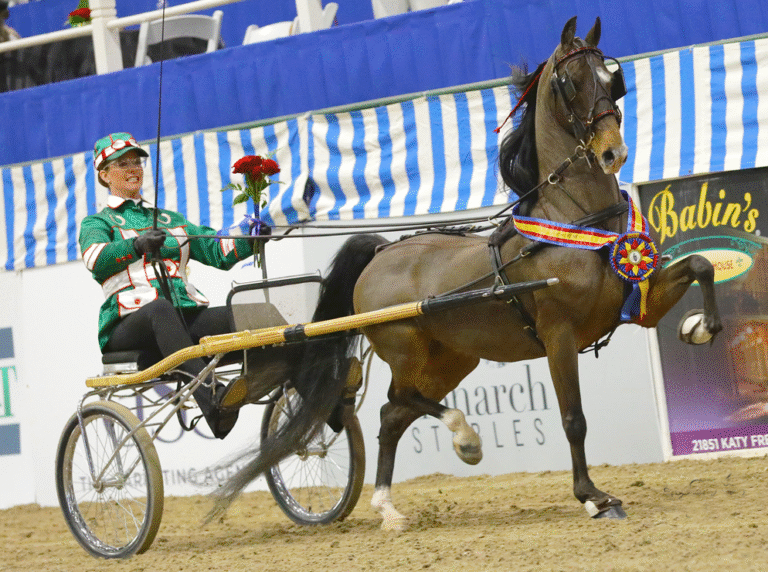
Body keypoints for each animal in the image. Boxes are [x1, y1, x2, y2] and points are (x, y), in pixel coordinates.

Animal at [210, 15, 722, 528]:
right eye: (570, 83)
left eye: (612, 80)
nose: (614, 152)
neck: (579, 221)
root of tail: (382, 253)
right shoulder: (558, 335)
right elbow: (573, 419)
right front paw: (593, 496)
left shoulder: (638, 303)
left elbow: (701, 264)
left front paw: (701, 326)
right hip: (408, 351)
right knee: (399, 402)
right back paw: (464, 439)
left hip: (452, 359)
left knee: (392, 416)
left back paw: (389, 506)